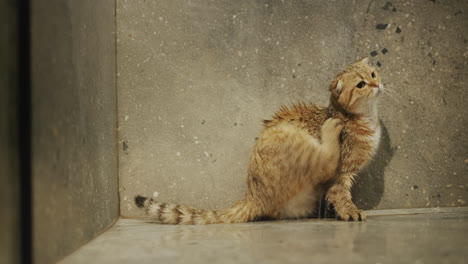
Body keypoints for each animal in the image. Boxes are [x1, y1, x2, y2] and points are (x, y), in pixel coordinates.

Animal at [133, 57, 382, 223]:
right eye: (361, 84)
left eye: (373, 74)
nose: (377, 84)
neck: (366, 117)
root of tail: (253, 196)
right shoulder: (341, 174)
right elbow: (341, 196)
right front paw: (351, 211)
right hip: (291, 139)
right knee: (326, 160)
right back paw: (331, 127)